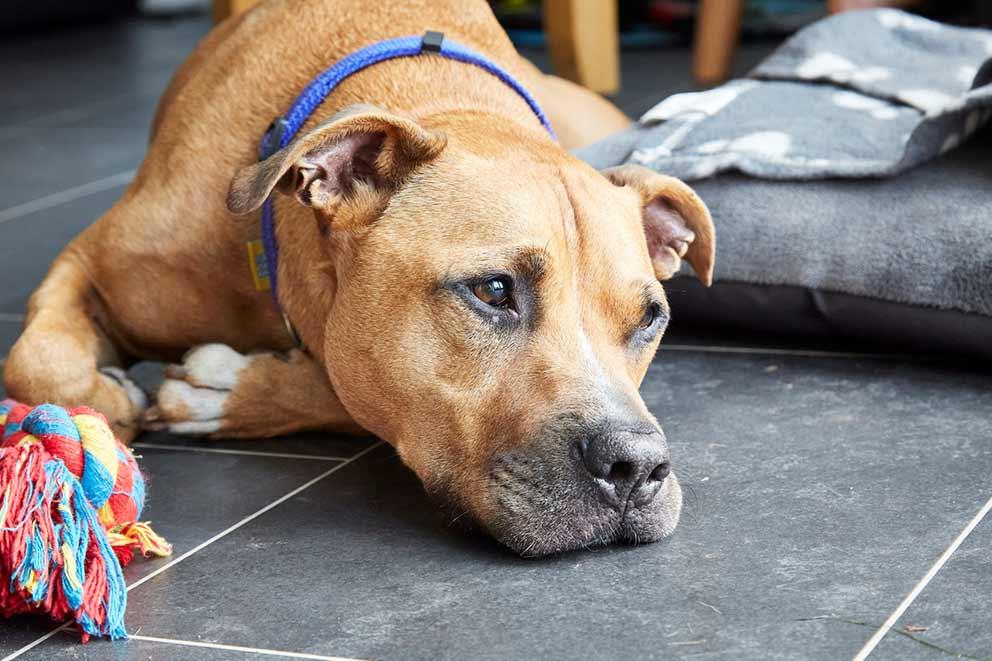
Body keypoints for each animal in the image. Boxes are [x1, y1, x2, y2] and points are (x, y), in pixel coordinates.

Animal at [1, 0, 712, 556]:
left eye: (650, 319)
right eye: (494, 290)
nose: (636, 466)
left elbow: (346, 393)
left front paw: (227, 390)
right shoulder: (89, 261)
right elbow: (39, 363)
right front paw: (113, 401)